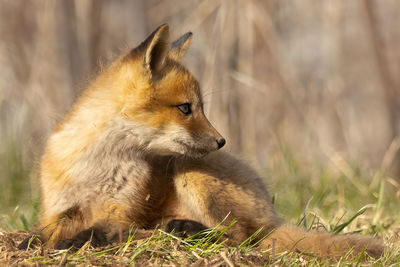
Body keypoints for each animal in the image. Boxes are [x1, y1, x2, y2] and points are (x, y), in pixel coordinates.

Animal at [17, 24, 382, 260]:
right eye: (185, 108)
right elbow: (42, 232)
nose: (222, 140)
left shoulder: (123, 212)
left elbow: (108, 231)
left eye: (200, 107)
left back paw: (185, 229)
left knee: (239, 238)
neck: (100, 168)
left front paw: (81, 241)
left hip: (190, 170)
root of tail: (273, 217)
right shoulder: (58, 210)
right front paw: (32, 244)